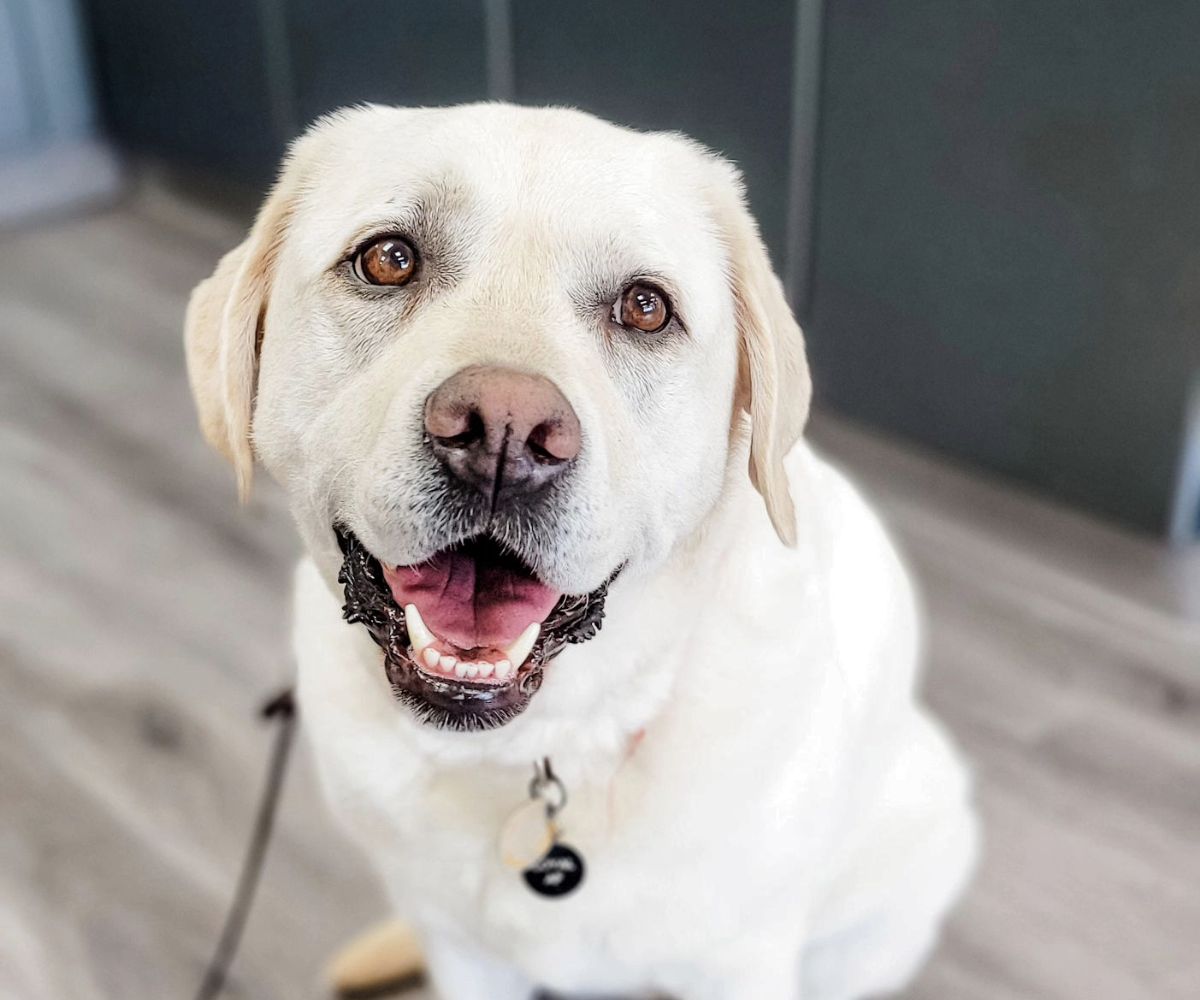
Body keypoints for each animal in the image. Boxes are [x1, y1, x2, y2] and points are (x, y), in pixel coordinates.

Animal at [184, 103, 974, 998]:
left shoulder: (737, 962)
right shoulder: (463, 953)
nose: (503, 433)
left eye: (645, 307)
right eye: (388, 259)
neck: (532, 756)